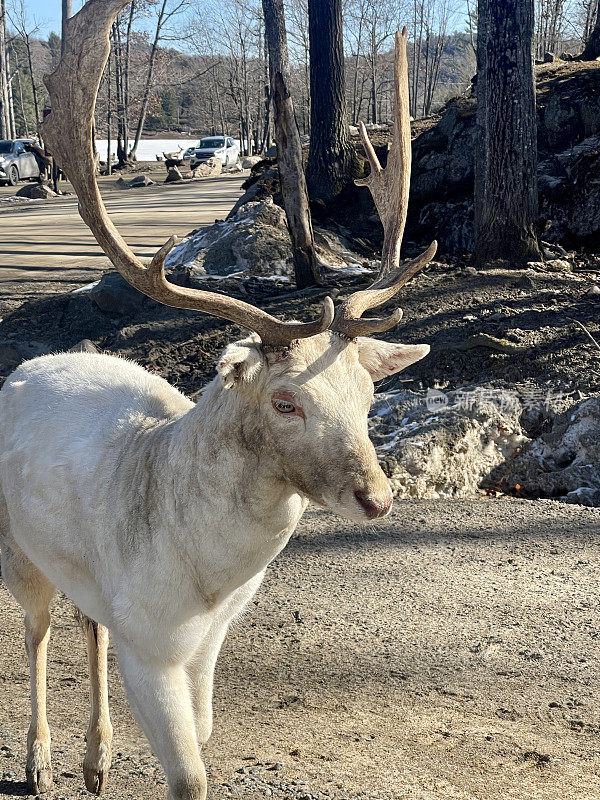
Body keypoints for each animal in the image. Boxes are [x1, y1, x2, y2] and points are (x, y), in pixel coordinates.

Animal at [0, 6, 434, 800]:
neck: (207, 586)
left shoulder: (207, 645)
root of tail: (34, 363)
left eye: (368, 393)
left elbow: (202, 740)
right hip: (18, 550)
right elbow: (190, 777)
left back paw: (97, 759)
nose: (378, 498)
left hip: (87, 575)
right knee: (37, 631)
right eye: (286, 402)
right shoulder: (152, 648)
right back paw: (40, 761)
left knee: (89, 622)